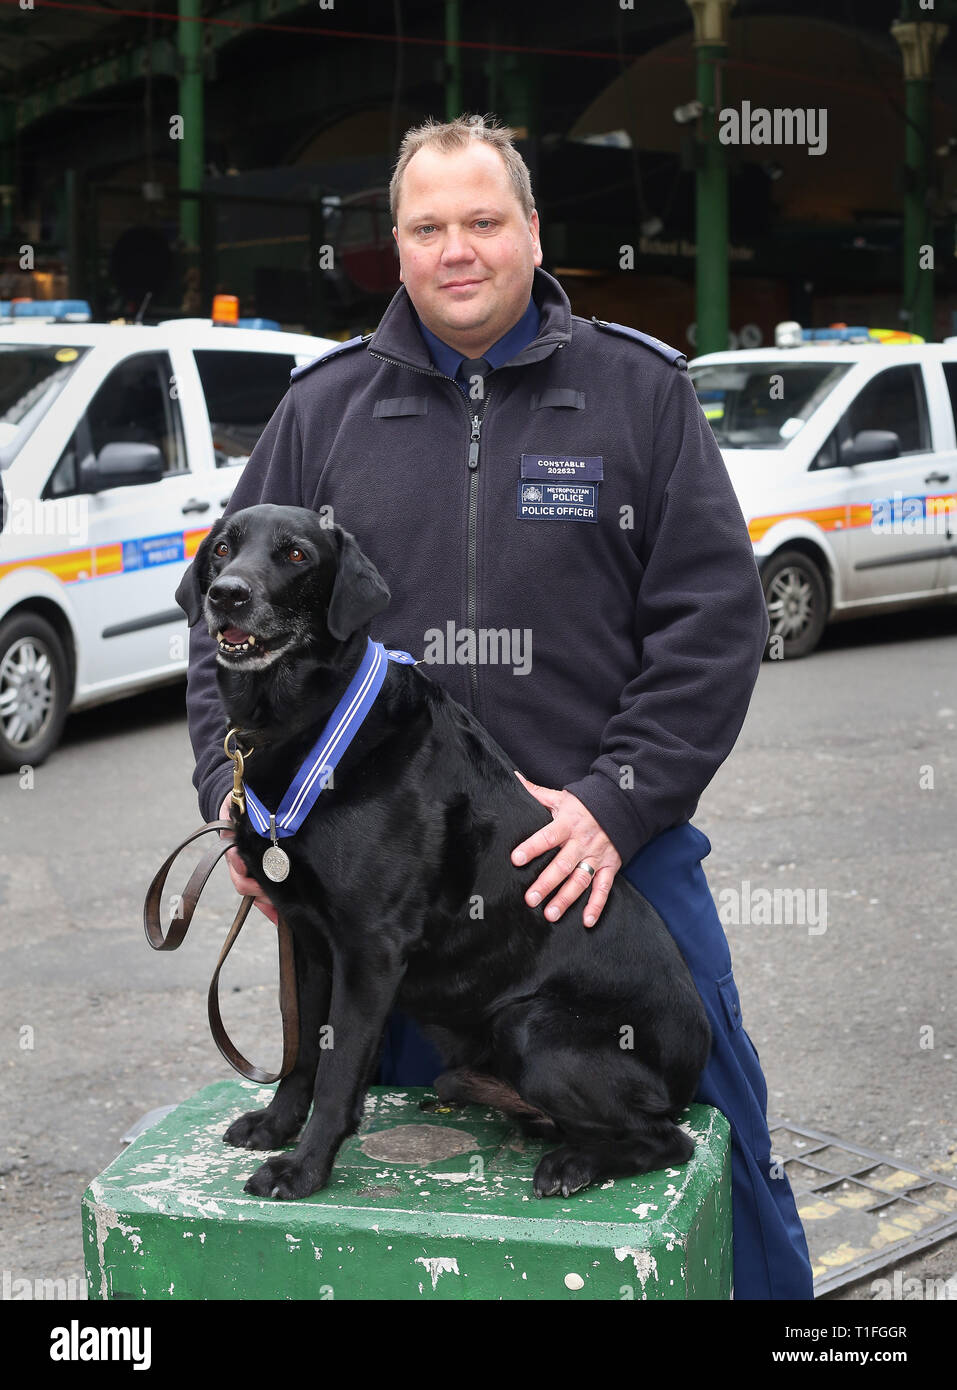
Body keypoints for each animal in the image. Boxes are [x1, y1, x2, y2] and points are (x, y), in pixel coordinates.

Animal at [173, 505, 709, 1200]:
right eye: (221, 548)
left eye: (295, 556)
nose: (227, 594)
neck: (303, 720)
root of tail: (693, 1068)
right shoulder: (308, 940)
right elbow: (302, 1052)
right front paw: (276, 1125)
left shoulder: (370, 949)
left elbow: (338, 1069)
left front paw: (304, 1168)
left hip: (529, 1026)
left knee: (670, 1140)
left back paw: (574, 1165)